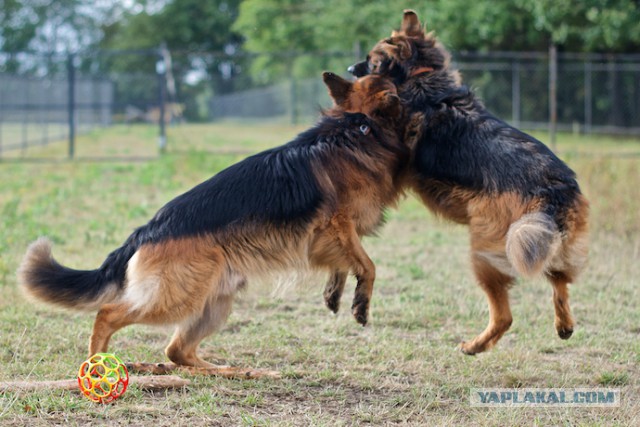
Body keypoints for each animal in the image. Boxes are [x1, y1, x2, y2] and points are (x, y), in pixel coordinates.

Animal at [21, 74, 410, 368]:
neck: (356, 128)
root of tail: (145, 232)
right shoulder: (338, 225)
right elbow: (369, 265)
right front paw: (360, 306)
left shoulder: (327, 237)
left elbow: (343, 264)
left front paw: (334, 294)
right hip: (176, 298)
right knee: (107, 314)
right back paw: (98, 364)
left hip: (214, 301)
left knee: (177, 351)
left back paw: (227, 370)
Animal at [340, 10, 592, 358]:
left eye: (372, 61)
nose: (351, 70)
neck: (423, 77)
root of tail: (553, 188)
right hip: (541, 244)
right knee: (559, 282)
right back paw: (563, 325)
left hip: (485, 252)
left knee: (505, 316)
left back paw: (475, 346)